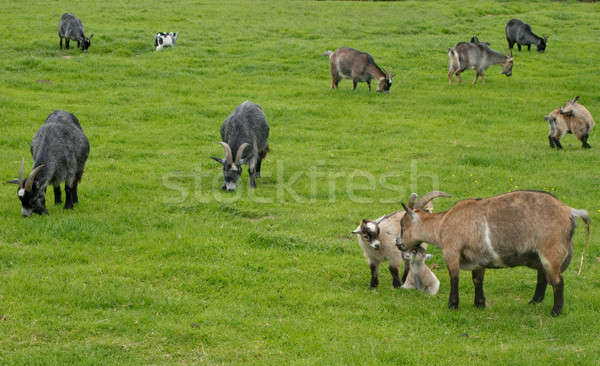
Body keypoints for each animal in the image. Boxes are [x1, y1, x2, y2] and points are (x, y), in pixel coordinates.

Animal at [398, 190, 592, 316]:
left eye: (403, 225)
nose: (398, 244)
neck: (442, 224)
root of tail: (569, 211)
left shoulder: (451, 251)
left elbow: (454, 278)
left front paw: (452, 305)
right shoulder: (478, 258)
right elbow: (477, 280)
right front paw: (479, 304)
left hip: (551, 252)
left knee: (558, 281)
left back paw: (555, 312)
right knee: (543, 278)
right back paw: (533, 303)